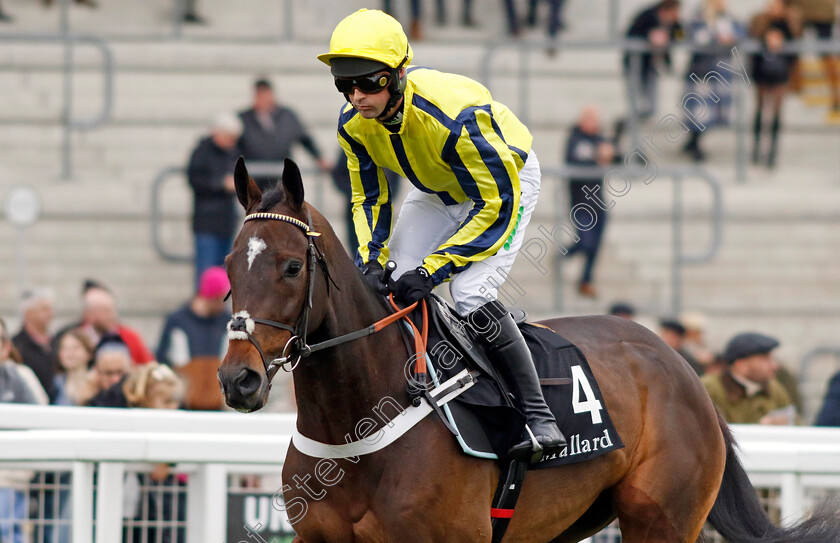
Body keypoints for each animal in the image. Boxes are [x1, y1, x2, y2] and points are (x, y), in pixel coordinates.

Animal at [220, 158, 836, 543]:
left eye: (291, 266)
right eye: (228, 266)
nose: (237, 379)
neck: (357, 422)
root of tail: (683, 369)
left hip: (663, 517)